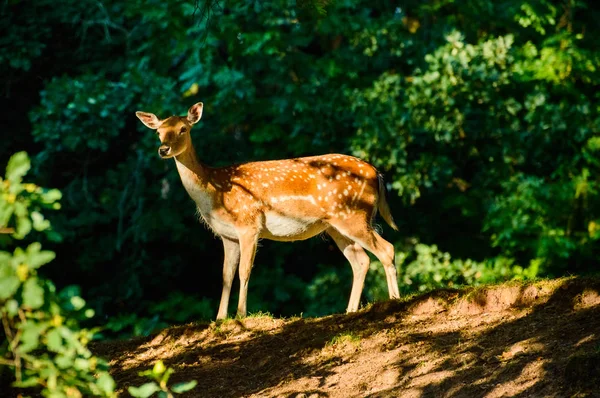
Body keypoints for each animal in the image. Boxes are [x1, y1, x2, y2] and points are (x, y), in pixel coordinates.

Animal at [135, 102, 398, 320]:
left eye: (183, 129)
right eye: (158, 132)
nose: (163, 149)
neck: (214, 194)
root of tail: (377, 173)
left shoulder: (248, 224)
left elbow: (244, 271)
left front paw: (241, 314)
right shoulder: (227, 235)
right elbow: (226, 275)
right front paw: (219, 319)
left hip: (353, 214)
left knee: (387, 249)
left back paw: (395, 301)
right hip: (336, 226)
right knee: (361, 260)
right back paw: (350, 311)